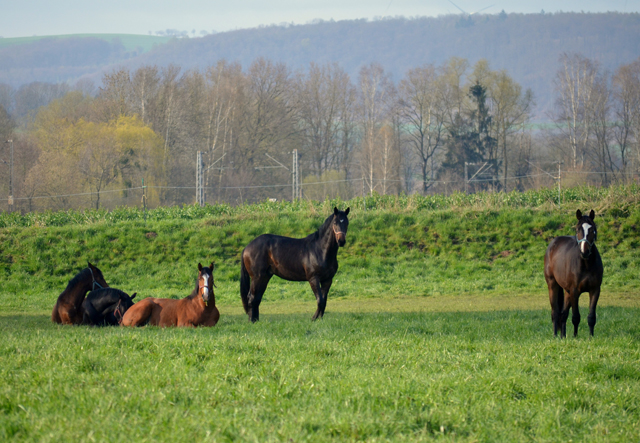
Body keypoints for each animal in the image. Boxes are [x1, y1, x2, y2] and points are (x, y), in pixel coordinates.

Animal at [544, 210, 604, 338]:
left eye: (592, 229)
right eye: (577, 230)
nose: (584, 252)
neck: (586, 264)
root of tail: (553, 243)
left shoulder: (595, 290)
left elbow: (591, 317)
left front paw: (591, 337)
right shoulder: (575, 291)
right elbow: (576, 317)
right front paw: (575, 337)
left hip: (567, 292)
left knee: (563, 314)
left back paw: (563, 336)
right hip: (553, 285)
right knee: (555, 312)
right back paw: (555, 336)